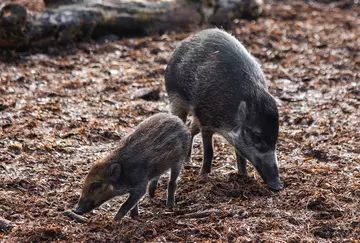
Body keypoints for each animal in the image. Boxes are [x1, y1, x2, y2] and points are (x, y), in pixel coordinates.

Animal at [165, 28, 284, 191]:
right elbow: (209, 151)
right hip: (175, 100)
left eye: (275, 138)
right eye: (256, 135)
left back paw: (189, 161)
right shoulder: (206, 120)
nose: (278, 186)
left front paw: (244, 176)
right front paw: (203, 176)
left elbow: (240, 154)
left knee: (191, 129)